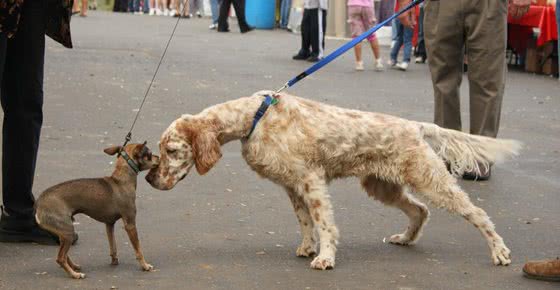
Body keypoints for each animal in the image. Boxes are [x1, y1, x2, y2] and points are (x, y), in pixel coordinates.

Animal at [34, 143, 159, 278]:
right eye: (150, 154)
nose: (158, 157)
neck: (120, 181)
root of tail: (38, 204)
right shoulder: (130, 225)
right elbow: (138, 249)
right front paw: (145, 265)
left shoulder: (109, 224)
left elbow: (113, 246)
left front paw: (114, 260)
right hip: (68, 233)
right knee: (60, 258)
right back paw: (75, 275)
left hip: (63, 234)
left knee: (64, 255)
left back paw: (74, 267)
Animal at [145, 90, 520, 270]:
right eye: (161, 150)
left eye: (172, 150)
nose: (149, 179)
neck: (254, 118)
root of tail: (414, 125)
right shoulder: (292, 185)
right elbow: (305, 221)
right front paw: (307, 247)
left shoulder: (311, 180)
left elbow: (324, 224)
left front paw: (325, 257)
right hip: (381, 185)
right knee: (420, 210)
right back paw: (405, 238)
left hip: (430, 179)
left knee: (477, 214)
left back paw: (500, 251)